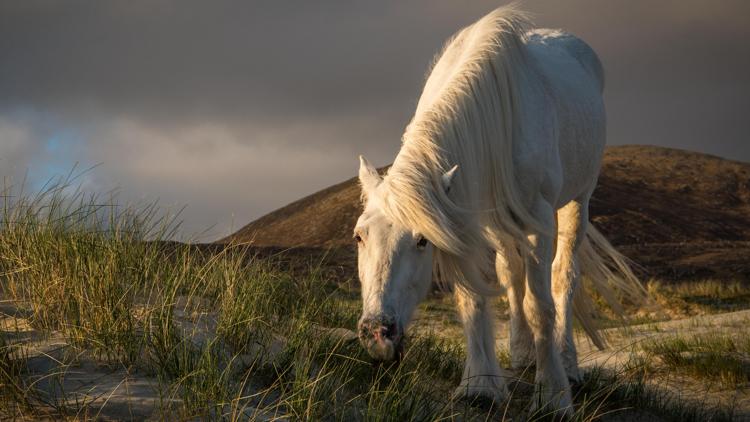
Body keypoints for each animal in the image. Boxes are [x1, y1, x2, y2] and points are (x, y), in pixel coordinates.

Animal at [356, 5, 648, 416]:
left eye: (421, 241)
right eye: (359, 236)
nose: (377, 333)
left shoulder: (537, 221)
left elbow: (541, 305)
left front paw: (553, 396)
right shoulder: (468, 218)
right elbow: (473, 297)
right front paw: (480, 385)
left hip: (577, 201)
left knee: (564, 277)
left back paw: (567, 362)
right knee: (511, 273)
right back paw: (523, 353)